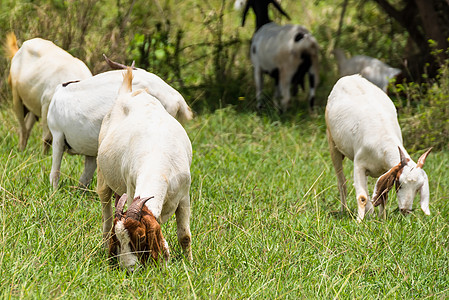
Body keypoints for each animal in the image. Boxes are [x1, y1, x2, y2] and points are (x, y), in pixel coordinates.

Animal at [97, 67, 192, 272]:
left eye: (140, 237)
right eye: (118, 240)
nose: (129, 269)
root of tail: (127, 92)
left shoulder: (184, 195)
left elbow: (184, 236)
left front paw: (189, 263)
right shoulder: (131, 188)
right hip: (102, 176)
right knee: (106, 214)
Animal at [324, 74, 432, 220]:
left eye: (418, 187)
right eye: (399, 183)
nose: (405, 210)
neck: (383, 140)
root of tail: (348, 77)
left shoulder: (386, 169)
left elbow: (383, 195)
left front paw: (381, 218)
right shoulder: (359, 165)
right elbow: (362, 197)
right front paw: (359, 220)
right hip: (332, 143)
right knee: (342, 184)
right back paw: (344, 210)